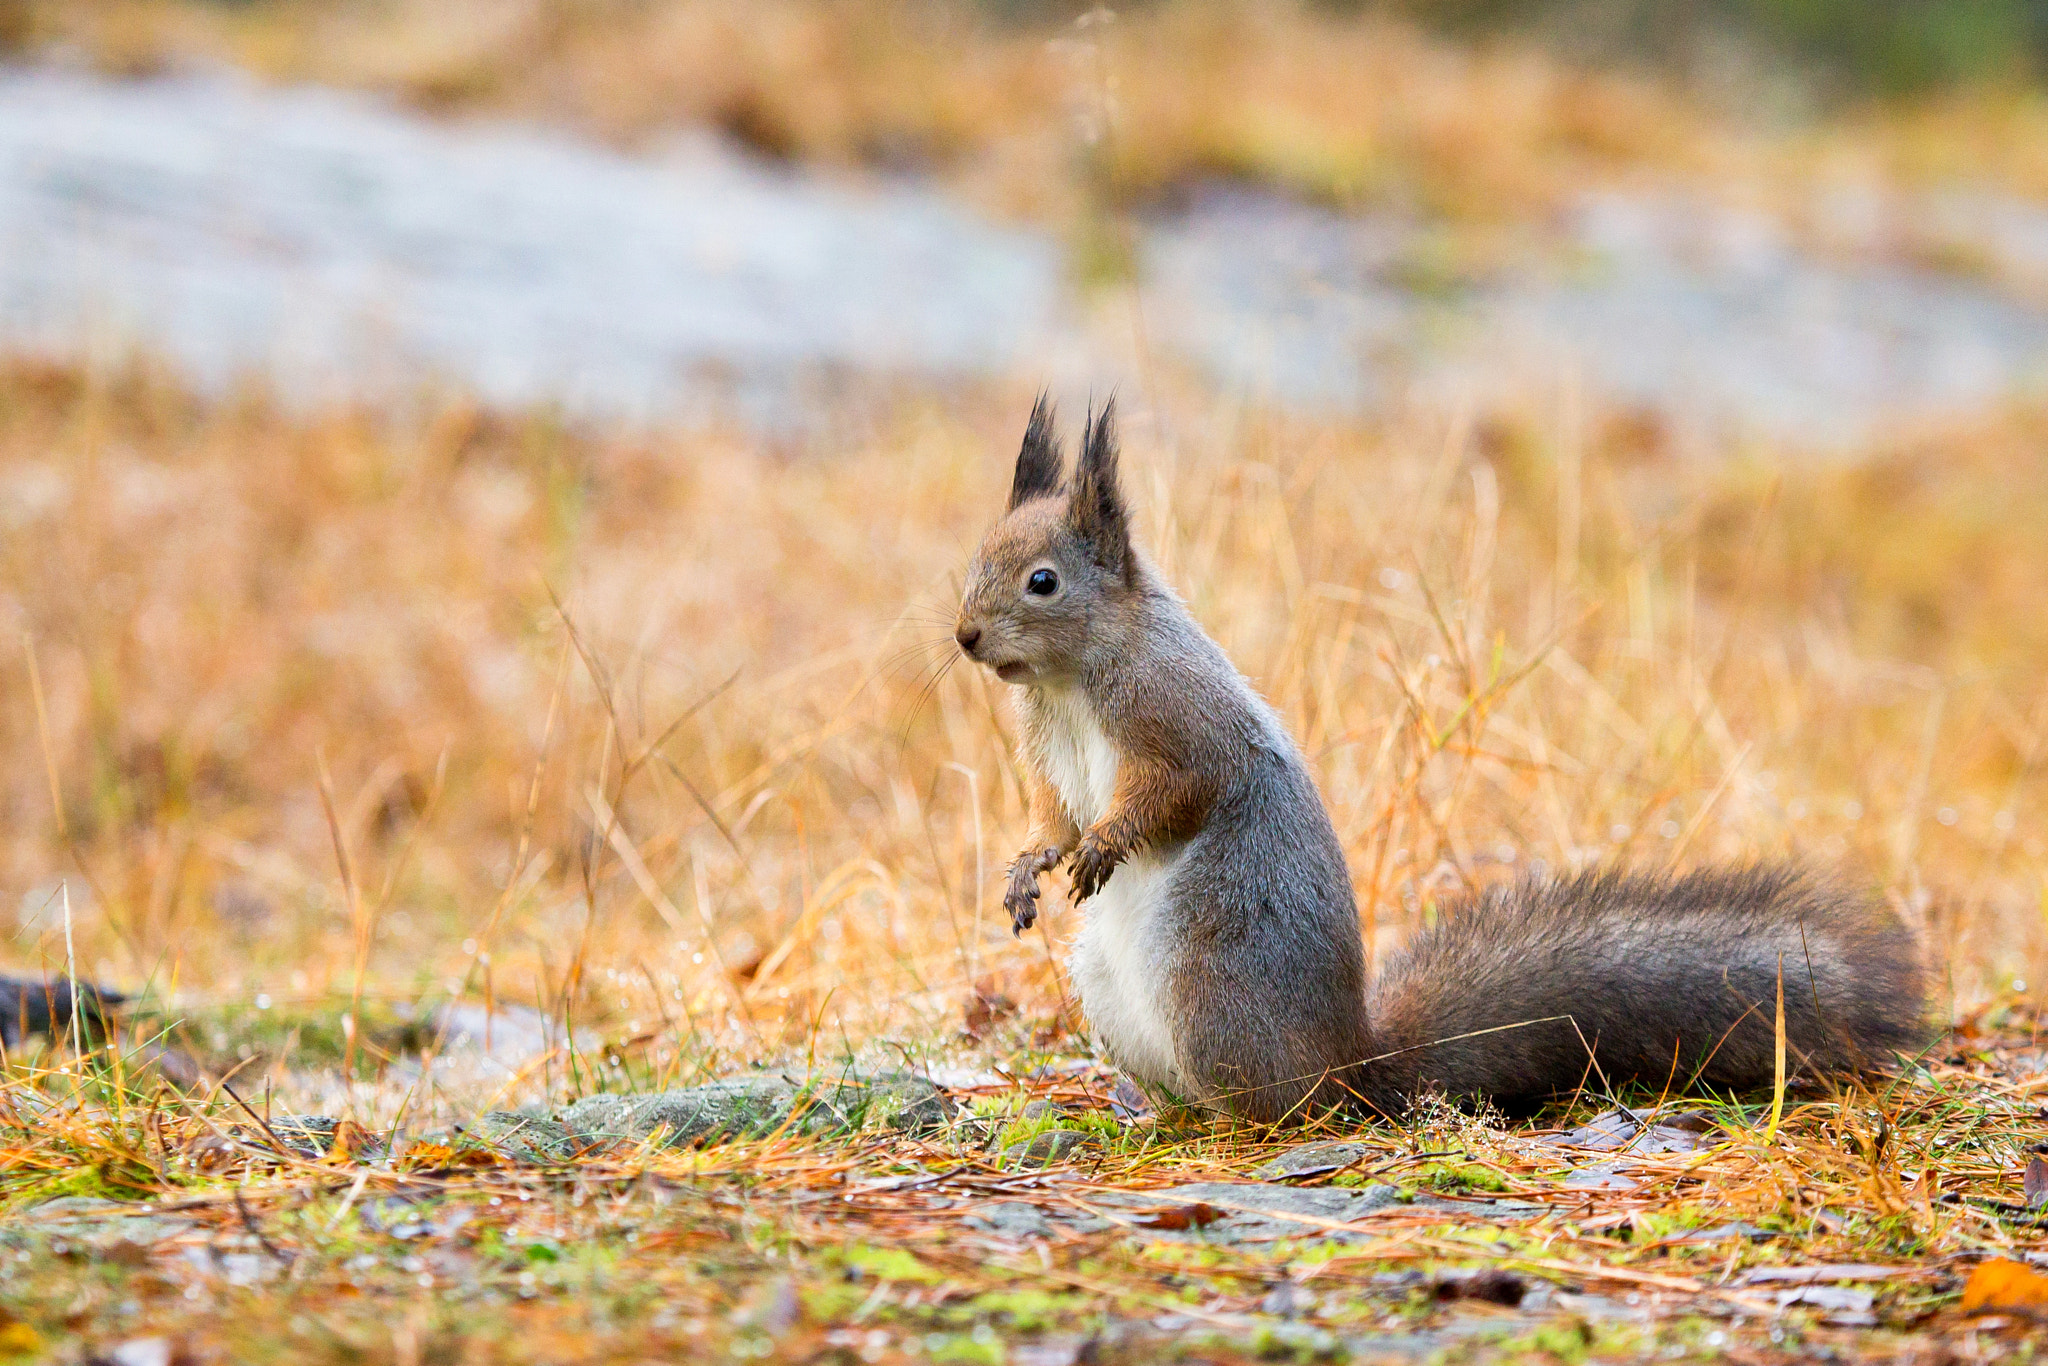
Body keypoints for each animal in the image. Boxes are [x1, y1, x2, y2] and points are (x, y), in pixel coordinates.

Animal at [952, 396, 1930, 1123]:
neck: (1075, 675)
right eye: (973, 561)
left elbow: (1176, 790)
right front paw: (1031, 861)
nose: (964, 639)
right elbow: (1051, 809)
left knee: (1275, 1109)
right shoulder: (1047, 745)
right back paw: (1147, 1106)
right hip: (1110, 989)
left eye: (1043, 581)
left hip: (1207, 989)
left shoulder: (1179, 717)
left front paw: (1105, 844)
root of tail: (1349, 1064)